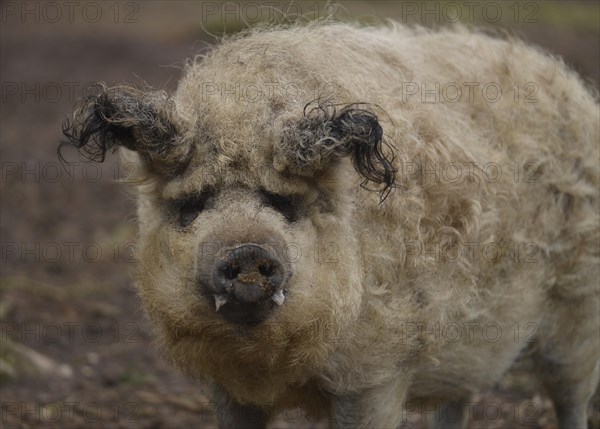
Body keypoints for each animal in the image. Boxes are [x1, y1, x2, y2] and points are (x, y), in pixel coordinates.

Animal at [62, 22, 600, 428]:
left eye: (285, 205)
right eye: (192, 206)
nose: (247, 251)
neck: (271, 364)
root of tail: (569, 83)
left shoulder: (376, 374)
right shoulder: (225, 386)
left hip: (579, 305)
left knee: (569, 393)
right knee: (460, 399)